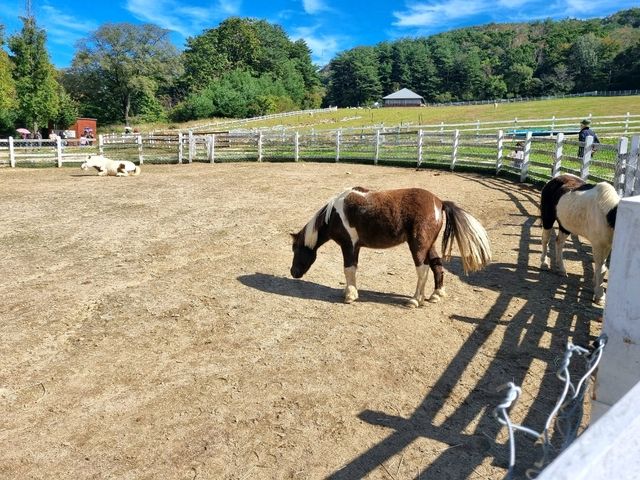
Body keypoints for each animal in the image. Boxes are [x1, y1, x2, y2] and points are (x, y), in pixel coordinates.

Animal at [290, 186, 490, 306]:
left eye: (295, 249)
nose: (293, 272)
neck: (334, 214)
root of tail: (439, 202)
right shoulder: (355, 247)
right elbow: (352, 269)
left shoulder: (348, 246)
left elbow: (348, 269)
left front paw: (350, 295)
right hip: (429, 246)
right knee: (437, 266)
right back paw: (436, 294)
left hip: (418, 246)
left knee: (423, 270)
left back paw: (415, 300)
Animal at [540, 174, 620, 306]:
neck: (608, 215)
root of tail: (554, 179)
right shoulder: (598, 245)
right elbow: (601, 268)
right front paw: (599, 295)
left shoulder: (608, 245)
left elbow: (601, 268)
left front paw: (596, 284)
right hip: (548, 219)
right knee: (545, 240)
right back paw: (544, 263)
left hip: (565, 226)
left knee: (559, 243)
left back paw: (562, 269)